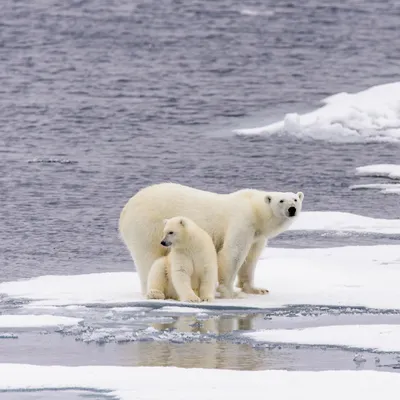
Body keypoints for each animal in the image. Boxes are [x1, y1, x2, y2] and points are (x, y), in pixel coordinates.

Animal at [119, 183, 304, 298]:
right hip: (148, 227)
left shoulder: (257, 235)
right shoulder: (242, 221)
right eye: (281, 200)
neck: (254, 208)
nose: (292, 209)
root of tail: (125, 210)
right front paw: (229, 292)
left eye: (295, 199)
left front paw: (256, 289)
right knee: (148, 258)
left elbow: (250, 259)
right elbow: (233, 253)